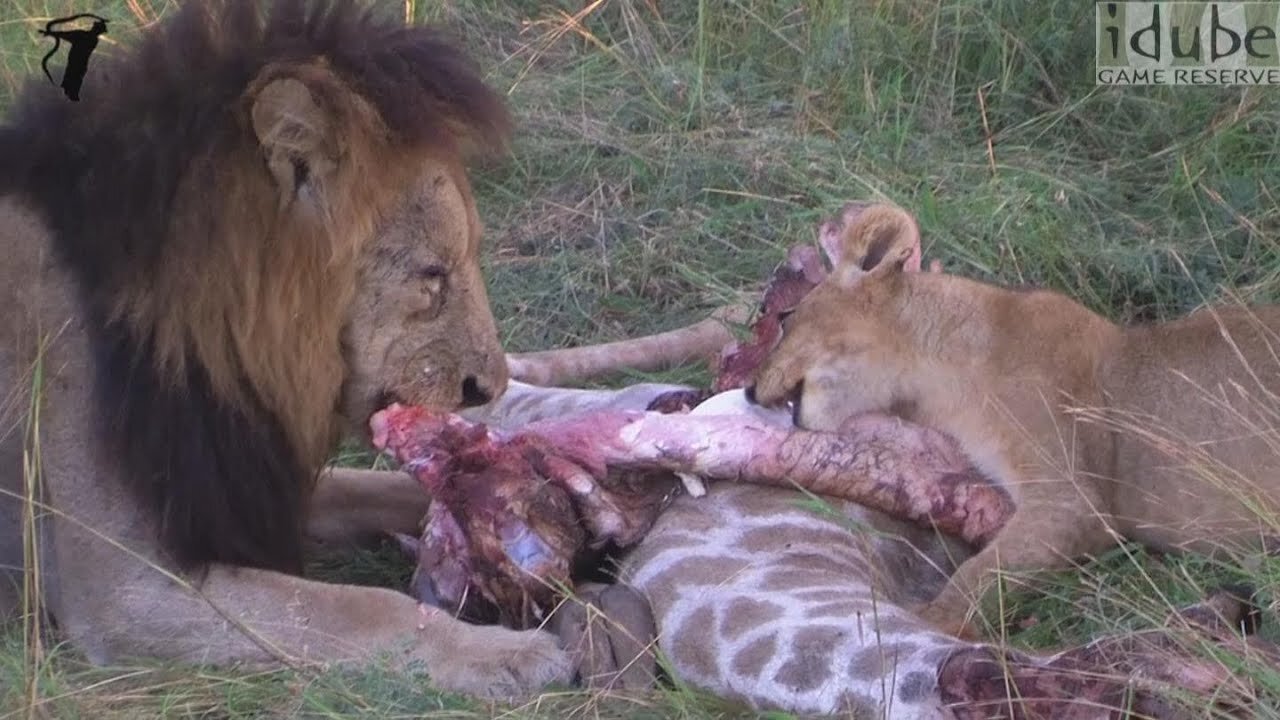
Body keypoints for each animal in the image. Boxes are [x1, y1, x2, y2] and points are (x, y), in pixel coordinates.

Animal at [0, 0, 570, 696]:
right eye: (431, 275)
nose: (488, 387)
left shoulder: (249, 481)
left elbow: (378, 490)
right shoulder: (122, 589)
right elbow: (356, 609)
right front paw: (505, 653)